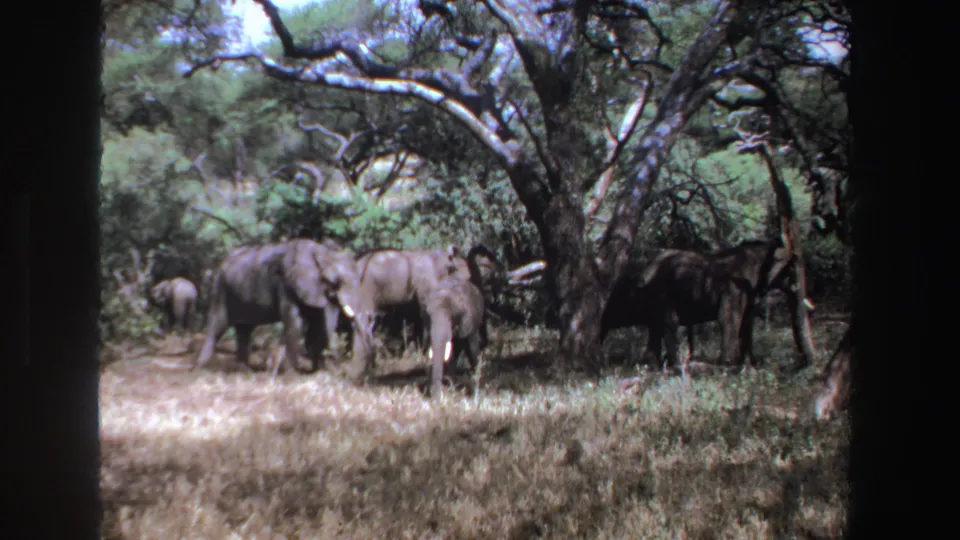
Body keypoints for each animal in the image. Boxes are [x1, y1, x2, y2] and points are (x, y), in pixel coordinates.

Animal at [193, 238, 374, 375]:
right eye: (336, 281)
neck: (319, 251)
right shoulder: (287, 283)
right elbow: (296, 322)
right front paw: (293, 374)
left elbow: (319, 324)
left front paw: (318, 372)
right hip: (220, 288)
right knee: (217, 326)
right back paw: (202, 368)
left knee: (244, 330)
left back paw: (242, 369)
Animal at [602, 238, 793, 371]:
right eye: (789, 271)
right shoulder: (734, 287)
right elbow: (728, 319)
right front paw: (729, 365)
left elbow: (745, 323)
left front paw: (746, 365)